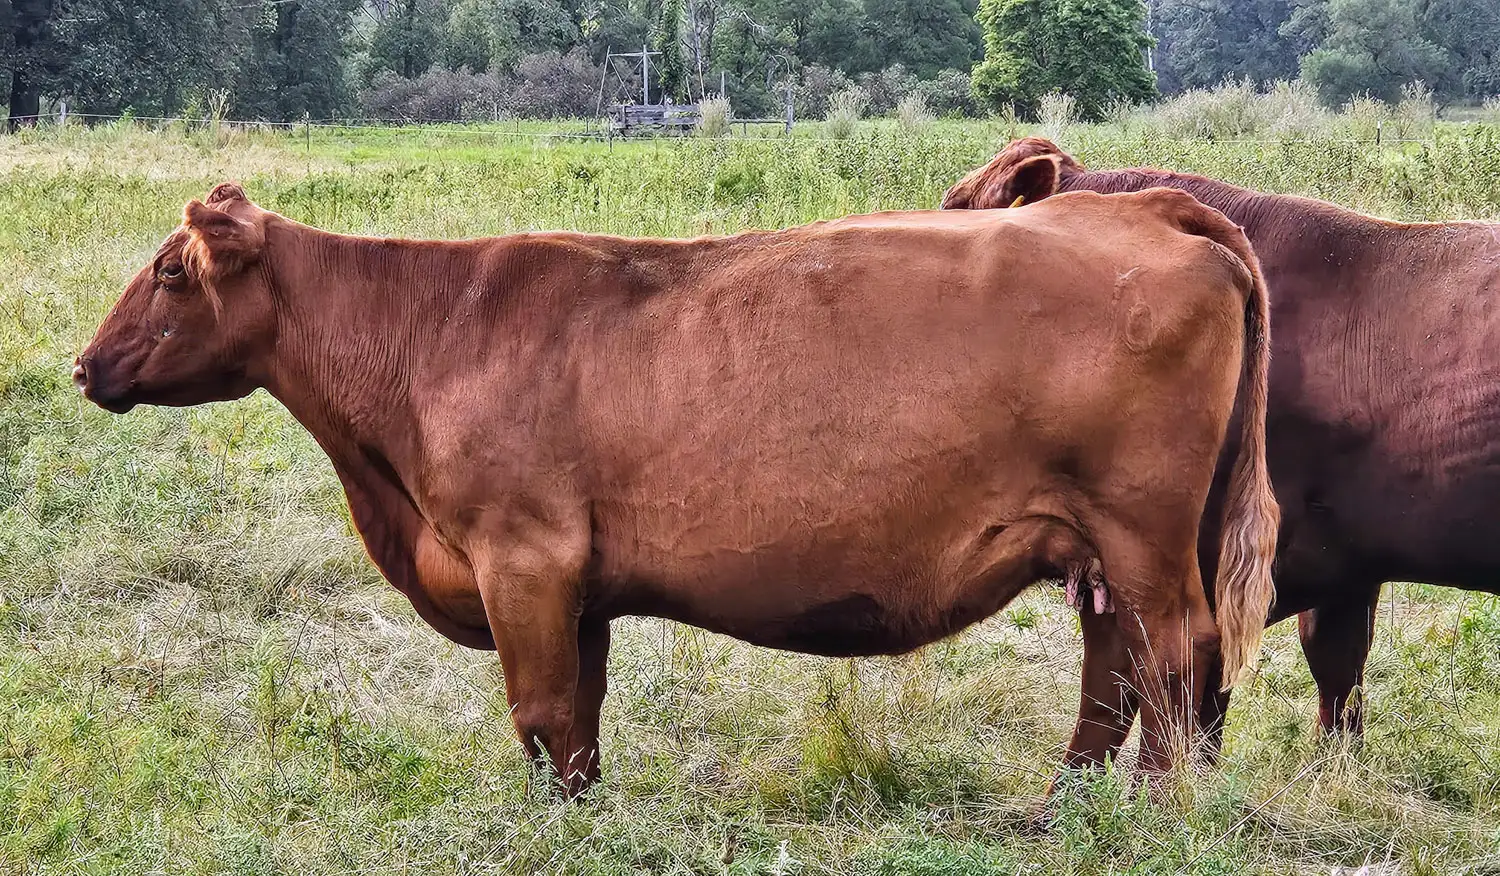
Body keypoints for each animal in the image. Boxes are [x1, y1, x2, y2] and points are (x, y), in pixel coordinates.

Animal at [75, 182, 1277, 794]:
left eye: (170, 271)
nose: (85, 367)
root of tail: (1148, 206)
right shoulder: (576, 586)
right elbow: (578, 719)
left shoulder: (522, 560)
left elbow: (540, 711)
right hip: (1095, 548)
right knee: (1114, 675)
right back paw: (1063, 810)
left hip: (1145, 539)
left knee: (1174, 665)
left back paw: (1153, 811)